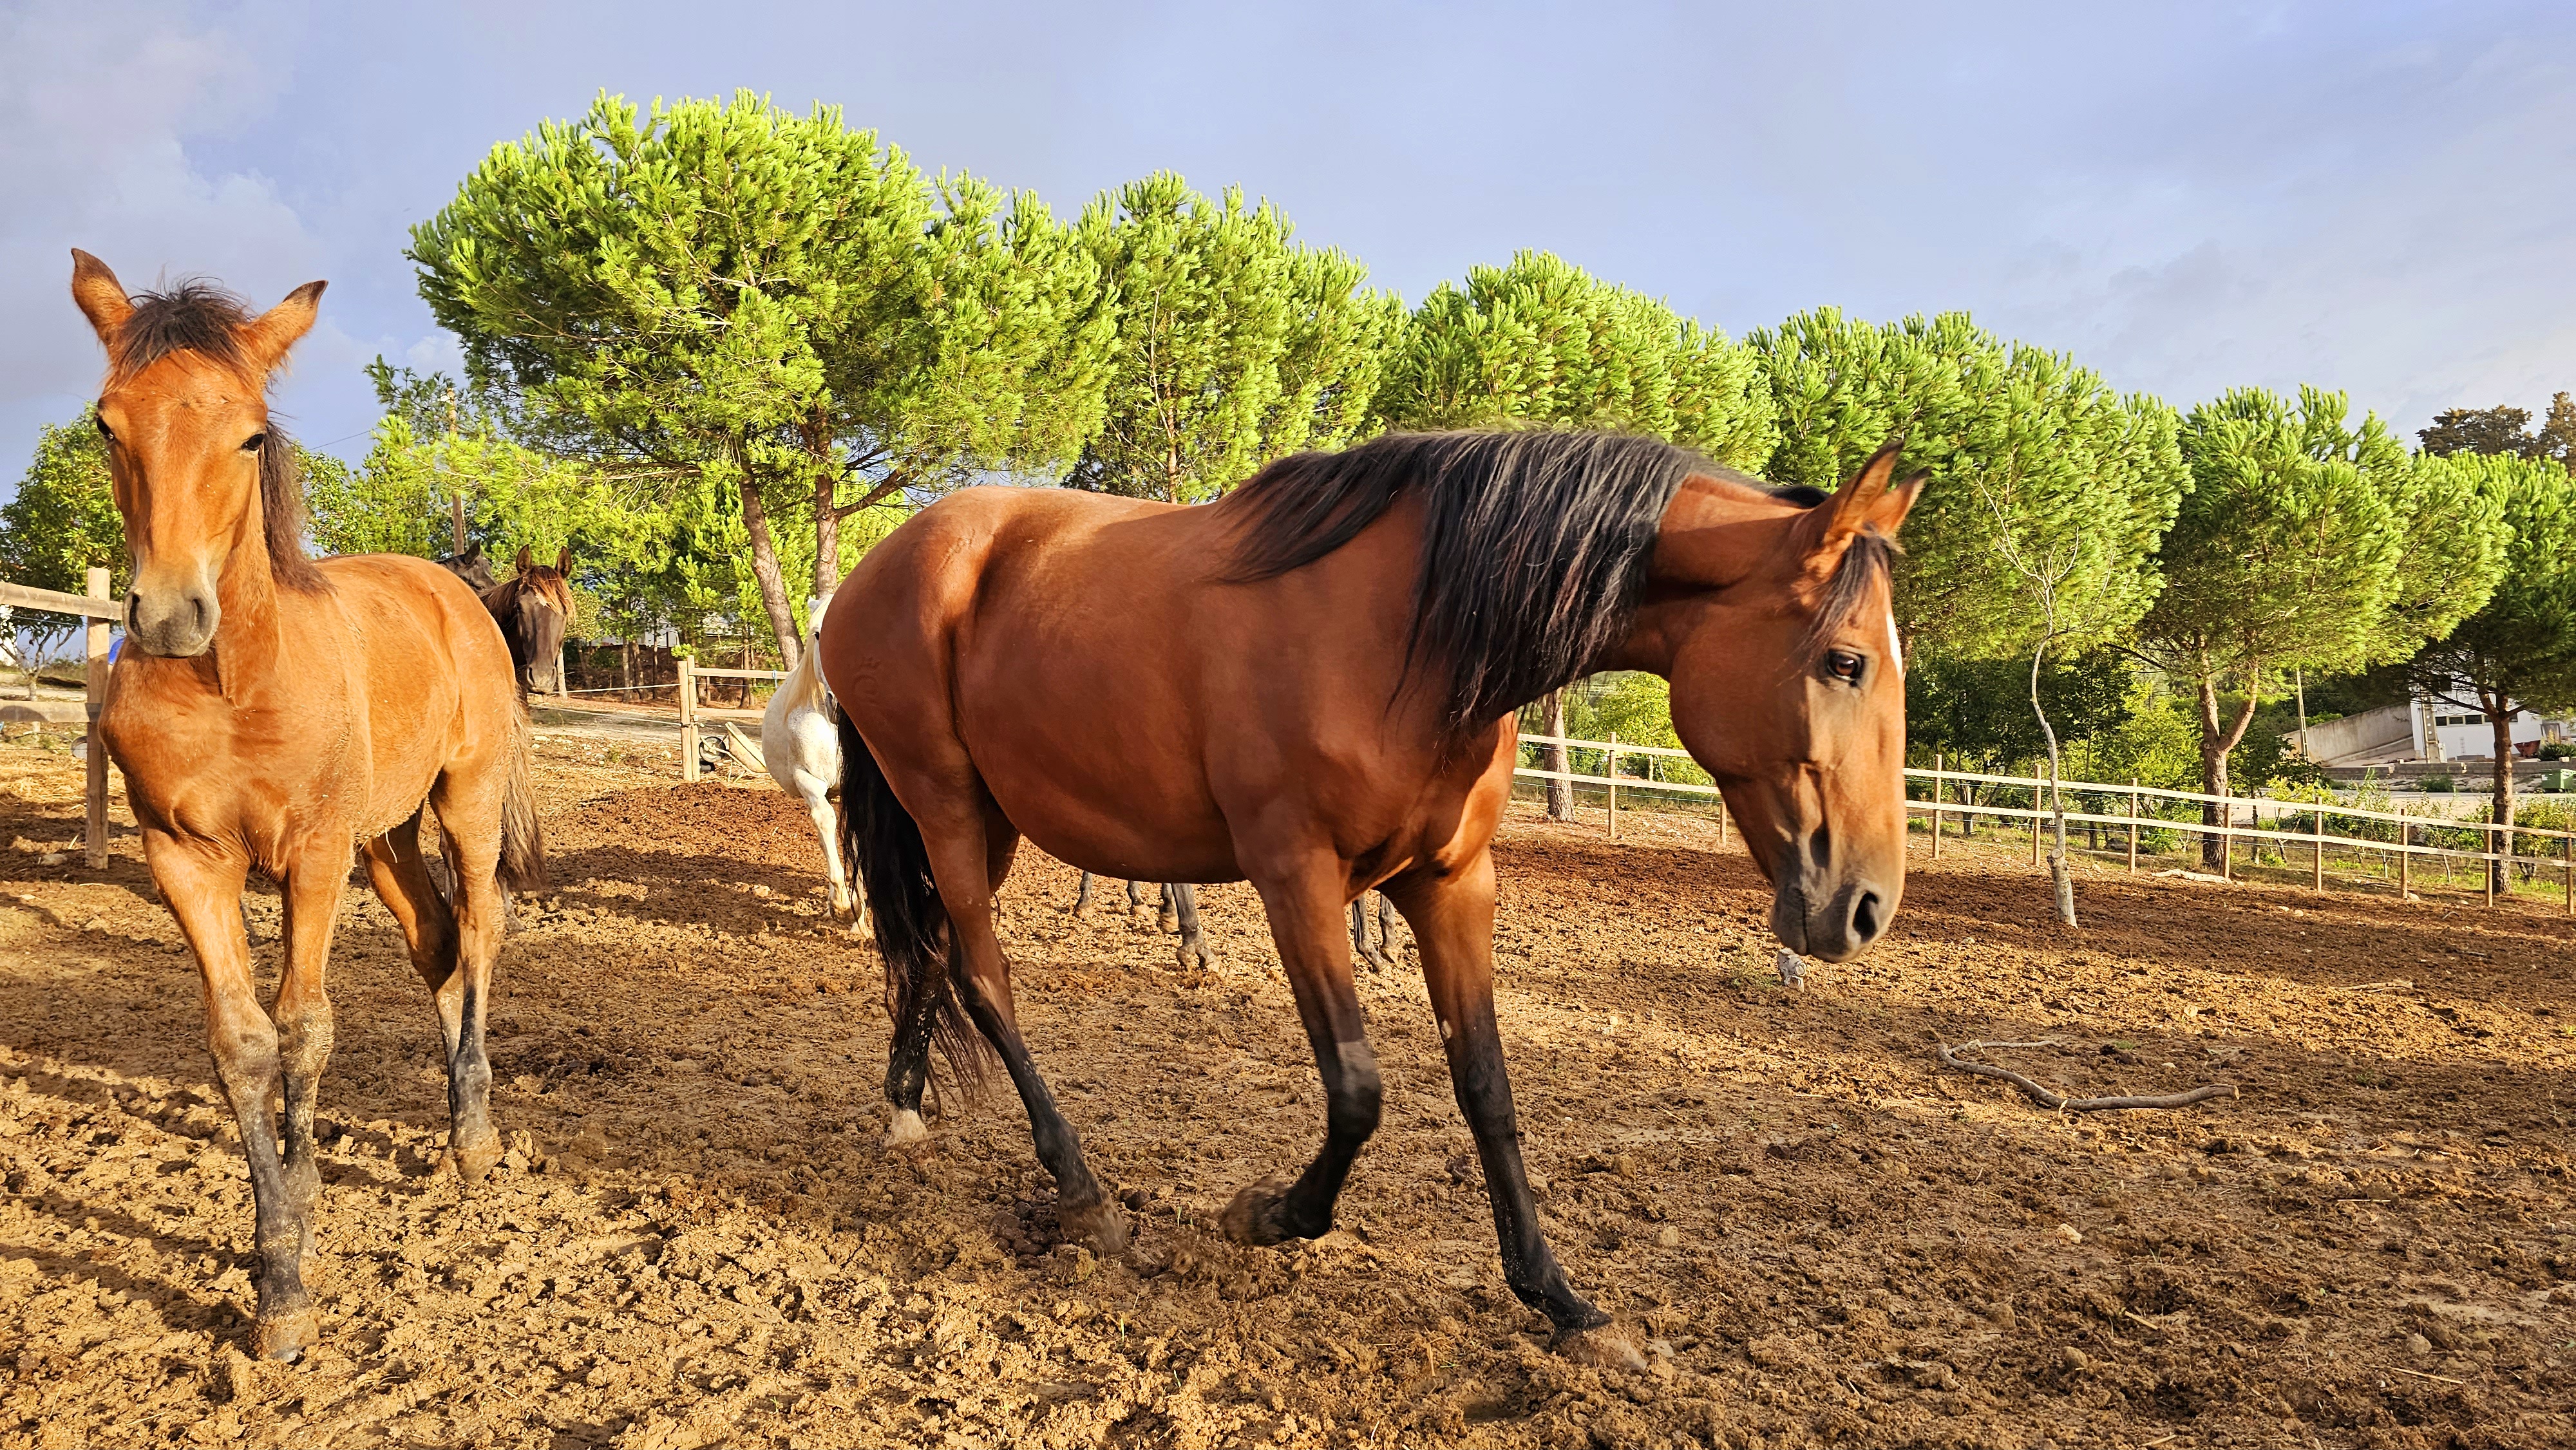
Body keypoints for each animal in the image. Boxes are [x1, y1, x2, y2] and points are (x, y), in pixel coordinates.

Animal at [69, 251, 547, 1361]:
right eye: (107, 424)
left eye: (251, 433)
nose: (169, 614)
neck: (232, 686)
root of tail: (451, 588)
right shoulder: (184, 861)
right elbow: (244, 1043)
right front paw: (283, 1259)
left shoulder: (315, 856)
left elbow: (306, 1026)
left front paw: (296, 1240)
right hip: (389, 837)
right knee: (437, 943)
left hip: (460, 803)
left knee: (482, 927)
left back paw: (473, 1135)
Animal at [820, 428, 1920, 1364]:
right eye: (1845, 661)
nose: (1866, 906)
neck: (1410, 634)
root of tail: (885, 564)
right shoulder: (1296, 878)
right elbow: (1357, 1090)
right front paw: (1263, 1216)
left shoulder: (1452, 882)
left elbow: (1487, 1087)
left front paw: (1557, 1297)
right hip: (945, 805)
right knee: (984, 978)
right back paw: (1083, 1191)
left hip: (984, 820)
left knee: (929, 951)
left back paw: (906, 1107)